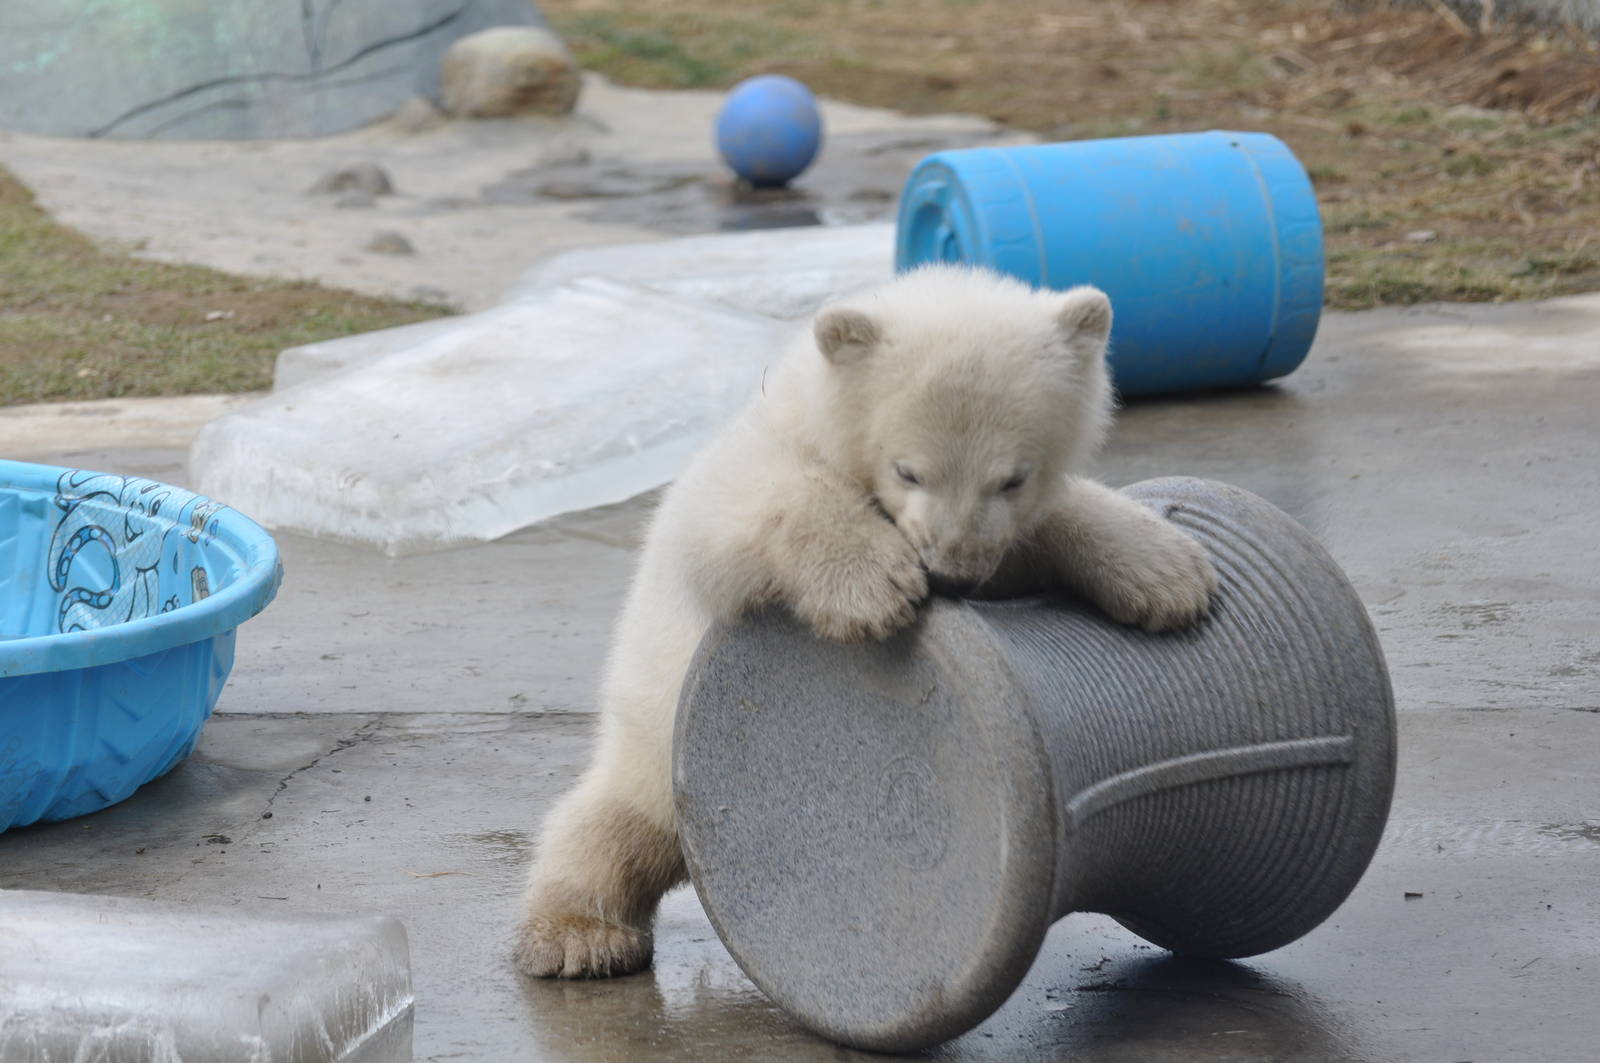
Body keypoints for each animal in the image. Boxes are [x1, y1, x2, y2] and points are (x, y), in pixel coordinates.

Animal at [513, 264, 1218, 978]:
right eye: (909, 469)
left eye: (1013, 478)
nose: (951, 571)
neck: (821, 414)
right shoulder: (752, 465)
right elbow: (744, 507)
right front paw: (875, 587)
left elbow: (1046, 530)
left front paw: (1171, 575)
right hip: (653, 748)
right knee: (605, 829)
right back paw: (580, 937)